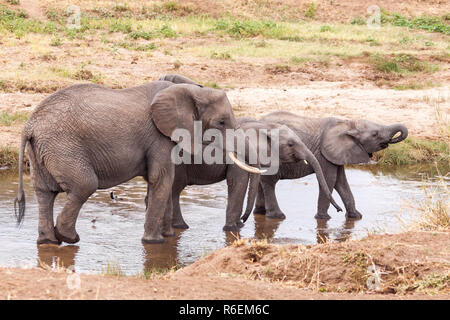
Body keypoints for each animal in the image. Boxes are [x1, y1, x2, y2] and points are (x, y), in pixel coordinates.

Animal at [14, 80, 260, 245]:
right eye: (221, 122)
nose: (244, 222)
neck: (190, 90)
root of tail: (29, 126)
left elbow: (164, 182)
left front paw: (168, 237)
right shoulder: (158, 136)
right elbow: (162, 179)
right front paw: (154, 242)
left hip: (43, 150)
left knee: (45, 193)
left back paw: (49, 242)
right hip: (63, 147)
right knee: (84, 185)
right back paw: (68, 237)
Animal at [255, 112, 410, 220]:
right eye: (375, 134)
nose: (339, 210)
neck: (348, 123)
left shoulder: (337, 153)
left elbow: (340, 181)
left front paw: (356, 217)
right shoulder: (324, 154)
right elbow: (330, 180)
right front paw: (323, 219)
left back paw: (260, 213)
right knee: (269, 182)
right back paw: (277, 216)